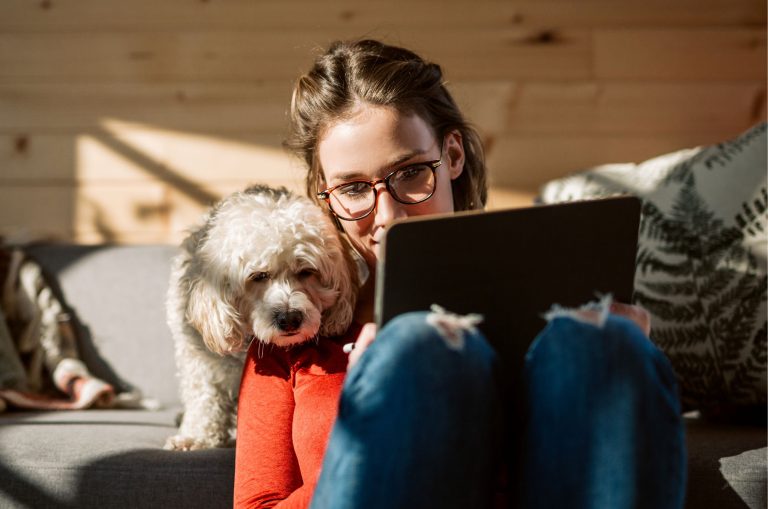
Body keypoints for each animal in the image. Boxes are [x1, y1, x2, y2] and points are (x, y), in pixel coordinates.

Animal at [165, 184, 356, 448]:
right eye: (259, 276)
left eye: (306, 271)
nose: (290, 318)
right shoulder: (199, 359)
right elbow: (204, 396)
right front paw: (196, 436)